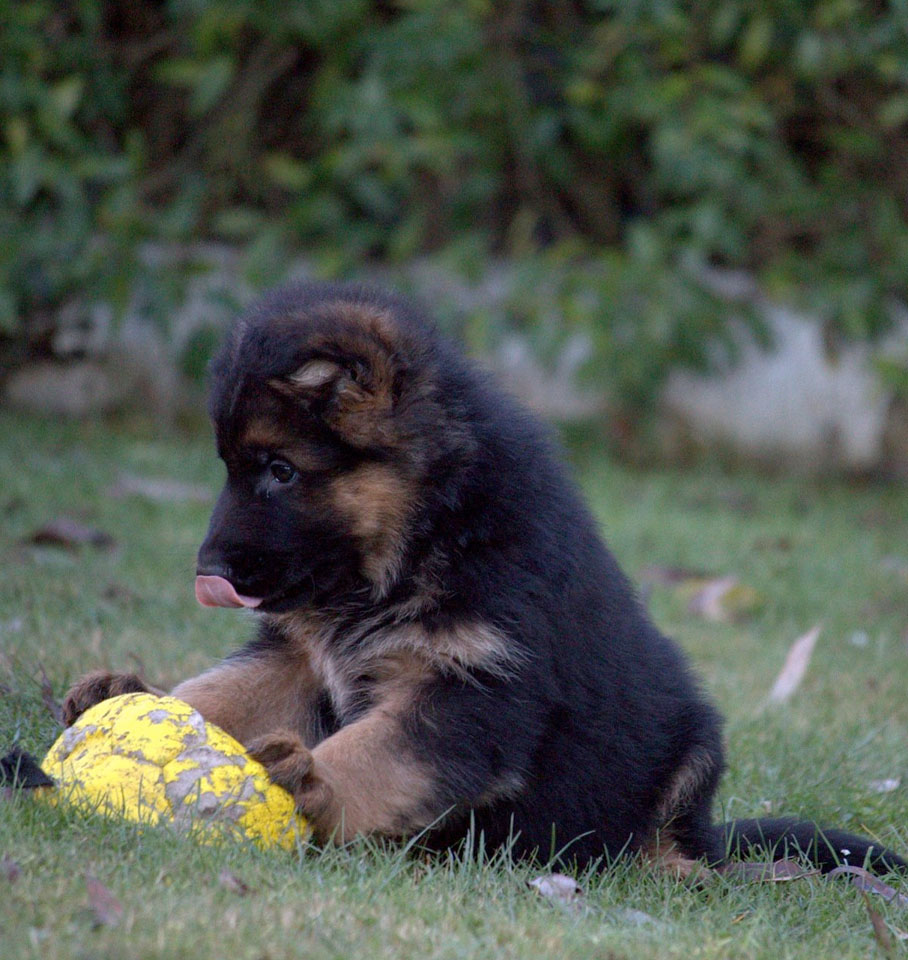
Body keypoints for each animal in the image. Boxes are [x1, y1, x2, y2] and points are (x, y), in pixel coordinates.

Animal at [62, 282, 907, 875]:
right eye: (231, 468)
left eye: (280, 470)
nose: (207, 574)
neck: (428, 533)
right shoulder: (298, 657)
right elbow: (218, 694)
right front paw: (127, 697)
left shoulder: (475, 687)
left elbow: (381, 750)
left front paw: (316, 782)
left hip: (692, 745)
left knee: (667, 844)